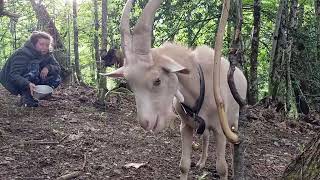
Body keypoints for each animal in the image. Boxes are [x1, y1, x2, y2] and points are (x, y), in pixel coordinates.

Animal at [101, 0, 246, 179]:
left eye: (157, 80)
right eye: (131, 84)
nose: (146, 123)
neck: (200, 84)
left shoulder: (220, 128)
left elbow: (221, 168)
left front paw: (226, 168)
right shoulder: (186, 126)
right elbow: (183, 165)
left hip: (235, 117)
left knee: (233, 139)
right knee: (205, 137)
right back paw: (201, 162)